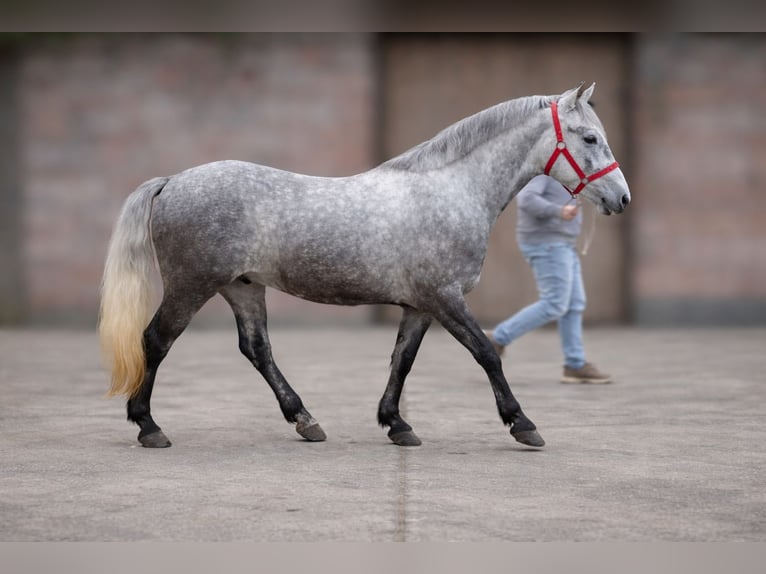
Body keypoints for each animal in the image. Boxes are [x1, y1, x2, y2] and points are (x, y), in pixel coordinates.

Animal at [99, 83, 630, 450]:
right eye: (589, 137)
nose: (621, 198)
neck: (451, 191)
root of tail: (172, 181)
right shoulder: (445, 298)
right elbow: (487, 354)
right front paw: (523, 424)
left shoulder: (420, 306)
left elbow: (402, 361)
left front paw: (397, 424)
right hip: (192, 286)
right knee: (155, 341)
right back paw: (149, 427)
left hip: (243, 287)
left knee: (257, 349)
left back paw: (306, 421)